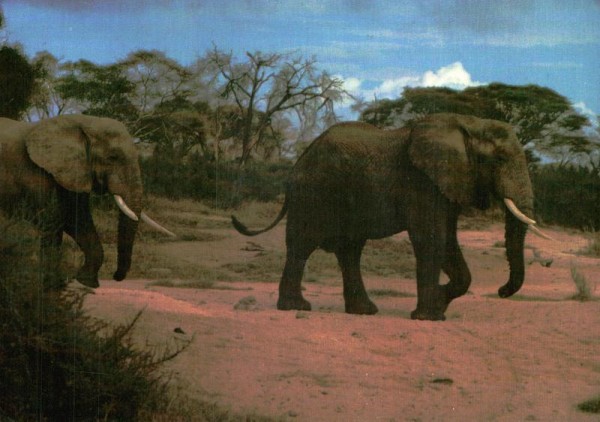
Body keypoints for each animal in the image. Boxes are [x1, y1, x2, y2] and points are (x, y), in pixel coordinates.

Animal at [0, 113, 173, 288]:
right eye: (113, 157)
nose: (116, 276)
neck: (82, 122)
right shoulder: (36, 174)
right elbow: (53, 221)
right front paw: (53, 285)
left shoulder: (75, 172)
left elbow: (78, 220)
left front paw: (86, 281)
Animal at [232, 112, 552, 320]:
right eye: (499, 159)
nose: (501, 291)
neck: (470, 124)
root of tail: (298, 161)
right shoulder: (423, 181)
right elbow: (431, 238)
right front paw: (429, 315)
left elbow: (447, 239)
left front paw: (439, 302)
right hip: (313, 193)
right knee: (302, 245)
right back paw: (297, 307)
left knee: (350, 251)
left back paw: (364, 311)